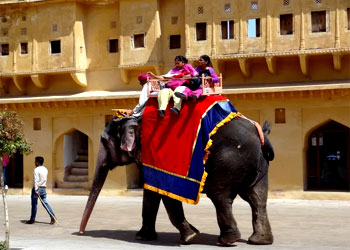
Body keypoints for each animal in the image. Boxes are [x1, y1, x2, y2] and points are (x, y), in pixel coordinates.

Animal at [80, 114, 276, 246]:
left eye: (104, 140)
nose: (81, 233)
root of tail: (261, 134)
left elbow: (166, 194)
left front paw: (190, 236)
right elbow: (151, 193)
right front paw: (144, 236)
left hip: (229, 162)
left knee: (220, 197)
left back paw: (227, 241)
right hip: (260, 167)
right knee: (257, 199)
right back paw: (259, 241)